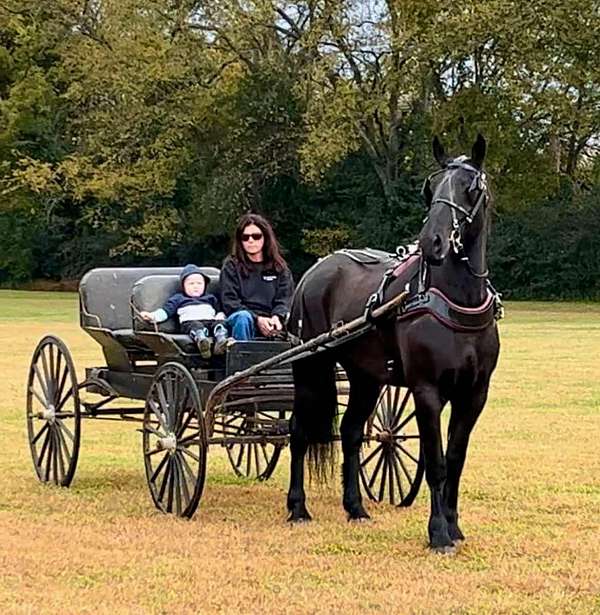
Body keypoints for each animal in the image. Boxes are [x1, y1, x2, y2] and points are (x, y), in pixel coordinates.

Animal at [286, 135, 502, 552]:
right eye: (430, 188)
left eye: (470, 188)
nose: (432, 241)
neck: (457, 301)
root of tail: (316, 270)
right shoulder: (426, 390)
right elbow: (436, 461)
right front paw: (438, 533)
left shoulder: (474, 394)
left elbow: (455, 460)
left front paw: (454, 526)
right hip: (310, 367)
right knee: (299, 431)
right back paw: (298, 507)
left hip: (366, 377)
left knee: (352, 431)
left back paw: (355, 507)